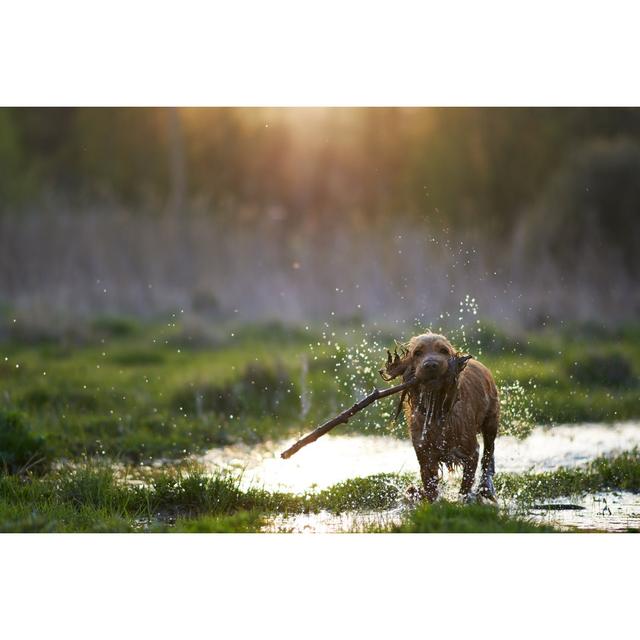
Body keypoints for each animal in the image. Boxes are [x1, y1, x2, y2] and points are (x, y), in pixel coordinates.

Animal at [380, 332, 500, 502]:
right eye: (417, 353)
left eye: (443, 350)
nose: (431, 365)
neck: (437, 410)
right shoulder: (425, 454)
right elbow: (430, 487)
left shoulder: (471, 451)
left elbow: (466, 484)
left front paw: (465, 500)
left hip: (491, 423)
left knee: (489, 453)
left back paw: (486, 487)